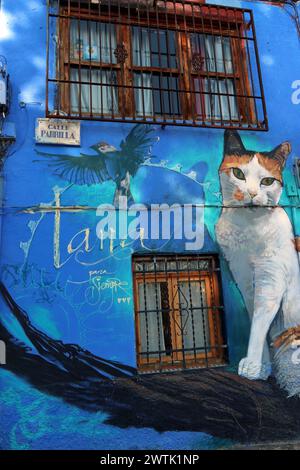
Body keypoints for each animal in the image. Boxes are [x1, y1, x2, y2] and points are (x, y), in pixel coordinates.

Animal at [217, 127, 300, 392]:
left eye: (267, 181)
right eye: (238, 173)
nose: (252, 193)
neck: (247, 230)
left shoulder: (270, 279)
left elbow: (260, 321)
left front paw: (252, 366)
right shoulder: (244, 280)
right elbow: (256, 318)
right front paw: (262, 367)